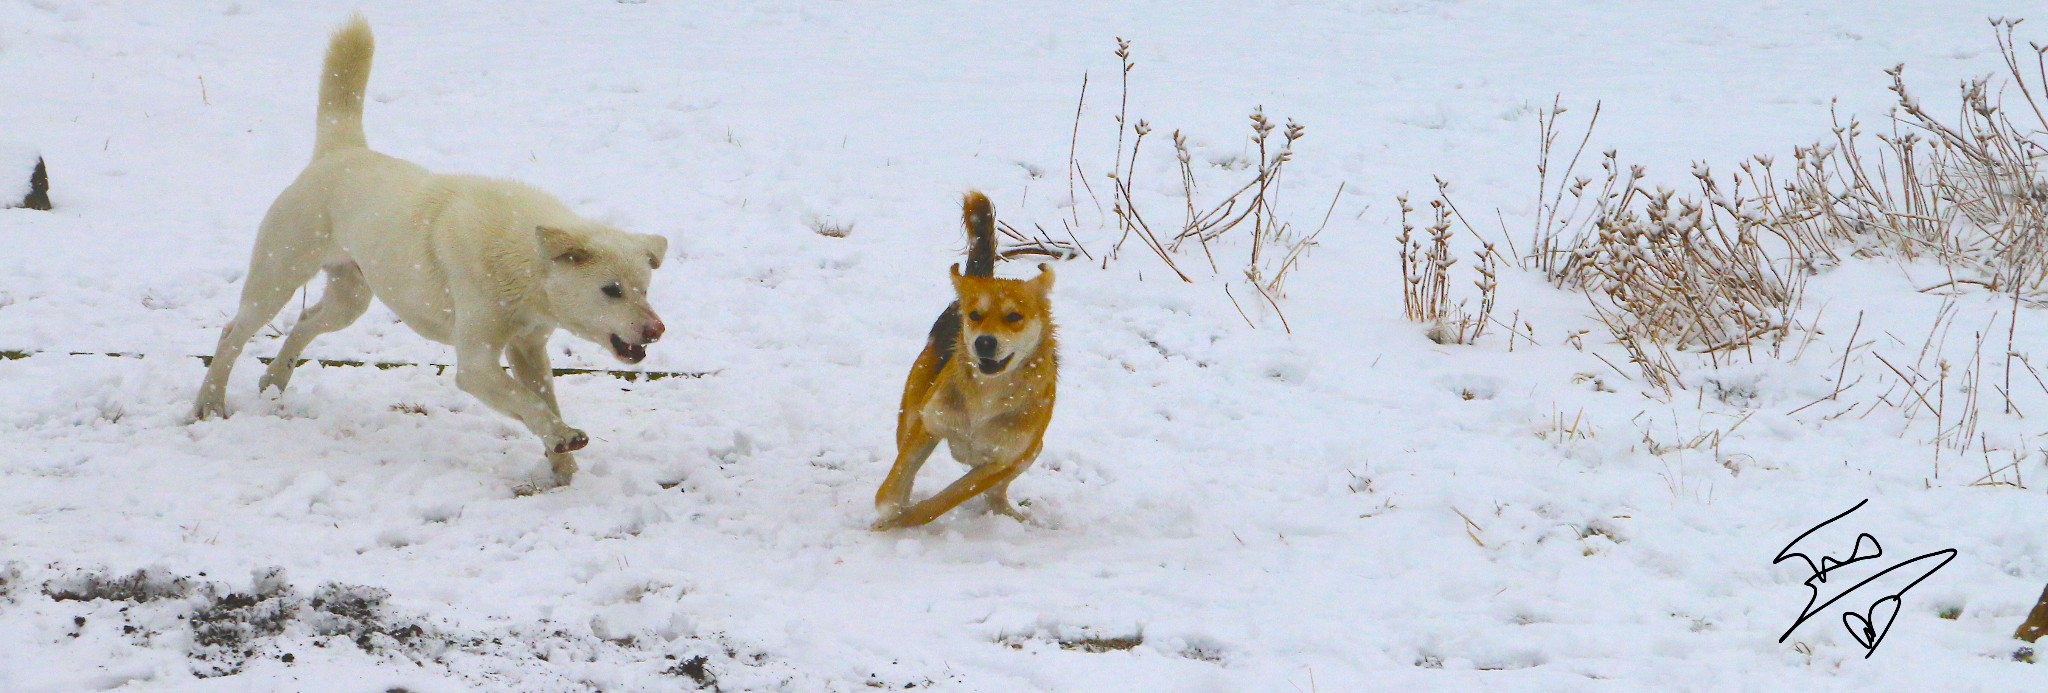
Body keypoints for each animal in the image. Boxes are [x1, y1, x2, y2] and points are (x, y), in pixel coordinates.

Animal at [198, 14, 667, 487]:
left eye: (644, 290)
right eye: (611, 290)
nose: (656, 330)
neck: (525, 263)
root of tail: (342, 151)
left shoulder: (529, 349)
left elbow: (543, 400)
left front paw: (563, 468)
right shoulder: (476, 363)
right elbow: (528, 403)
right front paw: (563, 438)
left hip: (351, 298)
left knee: (306, 321)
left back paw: (274, 380)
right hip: (277, 276)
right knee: (232, 332)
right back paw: (208, 404)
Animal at [872, 191, 1056, 528]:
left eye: (1014, 317)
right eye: (974, 315)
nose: (984, 342)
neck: (987, 393)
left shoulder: (1001, 461)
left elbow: (942, 502)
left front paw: (907, 520)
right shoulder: (928, 423)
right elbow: (891, 487)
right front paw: (892, 513)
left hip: (1031, 452)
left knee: (996, 494)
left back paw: (1010, 514)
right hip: (912, 406)